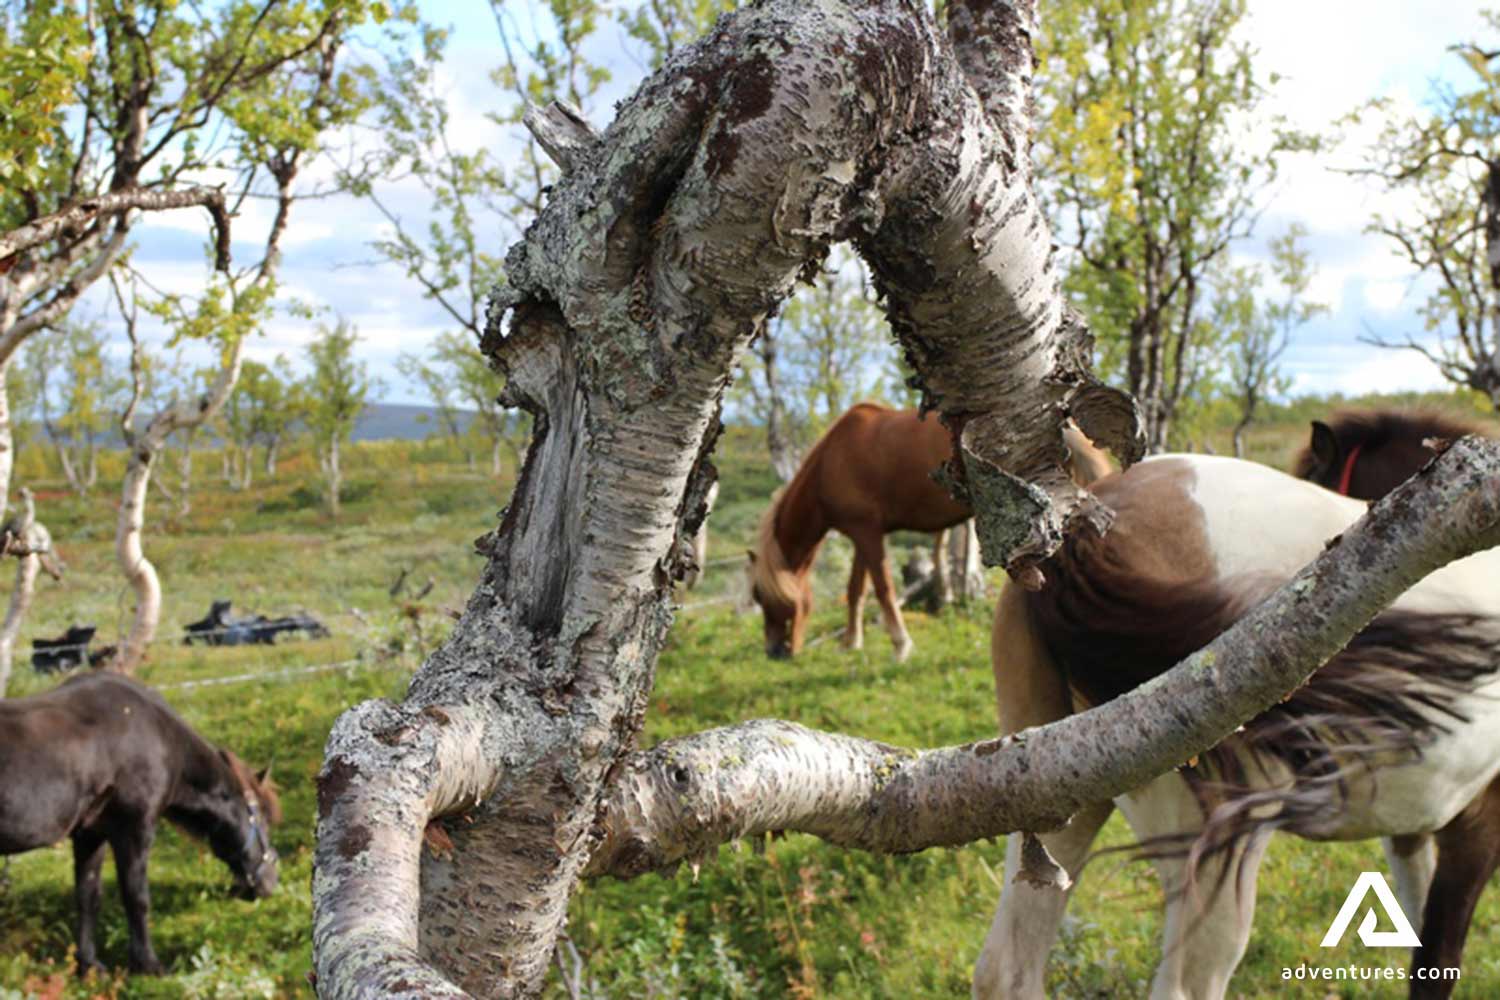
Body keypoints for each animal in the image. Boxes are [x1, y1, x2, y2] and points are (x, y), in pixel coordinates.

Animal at [0, 672, 281, 975]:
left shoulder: (90, 834)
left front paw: (88, 965)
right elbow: (136, 897)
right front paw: (148, 964)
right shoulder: (135, 830)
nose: (271, 882)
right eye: (263, 818)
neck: (160, 736)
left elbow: (88, 895)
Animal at [747, 403, 1111, 661]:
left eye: (760, 596)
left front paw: (900, 645)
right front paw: (851, 642)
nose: (774, 651)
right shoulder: (862, 533)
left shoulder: (867, 534)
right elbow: (856, 589)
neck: (830, 463)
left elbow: (883, 589)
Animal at [974, 415, 1500, 1000]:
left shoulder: (1414, 830)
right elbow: (1438, 959)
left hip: (1049, 801)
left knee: (1007, 969)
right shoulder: (1476, 829)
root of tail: (1086, 533)